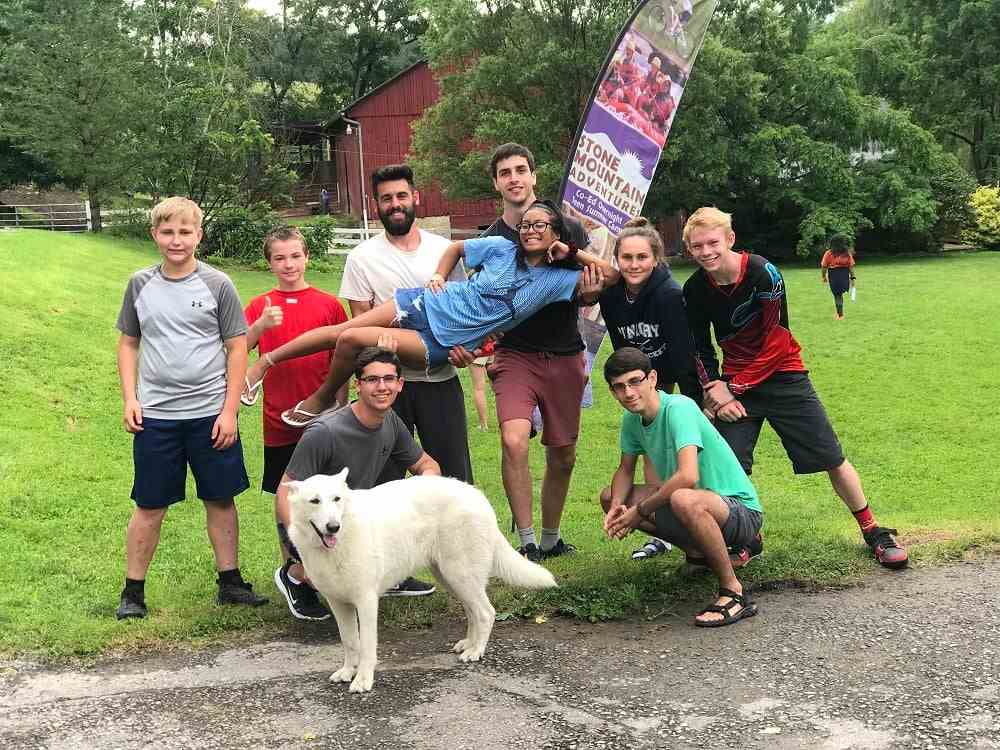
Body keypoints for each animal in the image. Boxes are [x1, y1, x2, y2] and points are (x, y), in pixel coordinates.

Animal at [286, 472, 560, 696]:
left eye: (337, 499)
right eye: (315, 501)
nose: (333, 527)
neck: (339, 542)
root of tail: (476, 494)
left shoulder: (366, 601)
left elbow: (367, 647)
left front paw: (362, 679)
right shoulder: (339, 604)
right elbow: (350, 642)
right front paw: (347, 672)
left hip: (460, 574)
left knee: (486, 612)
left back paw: (476, 651)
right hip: (452, 578)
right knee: (473, 612)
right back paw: (469, 644)